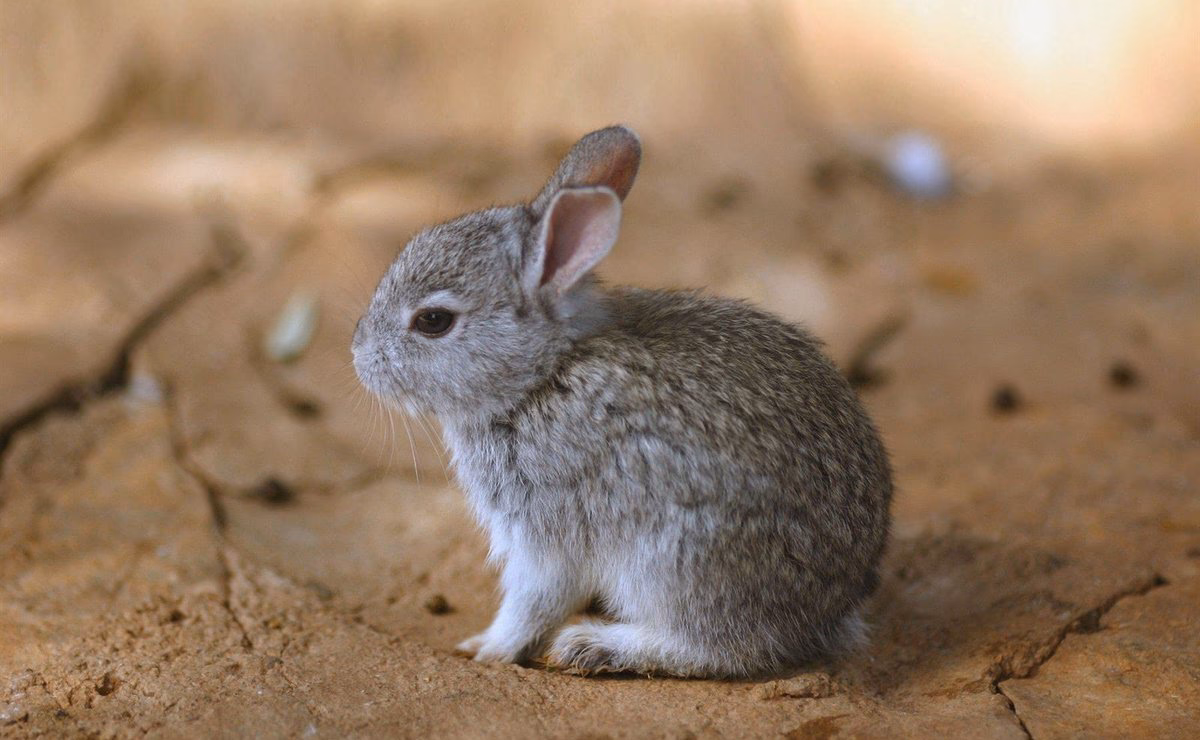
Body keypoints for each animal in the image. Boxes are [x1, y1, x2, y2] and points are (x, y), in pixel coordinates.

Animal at [352, 125, 893, 678]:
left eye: (433, 321)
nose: (359, 355)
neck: (542, 375)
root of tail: (830, 607)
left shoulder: (548, 528)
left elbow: (533, 600)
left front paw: (488, 648)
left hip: (674, 560)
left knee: (721, 647)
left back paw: (595, 645)